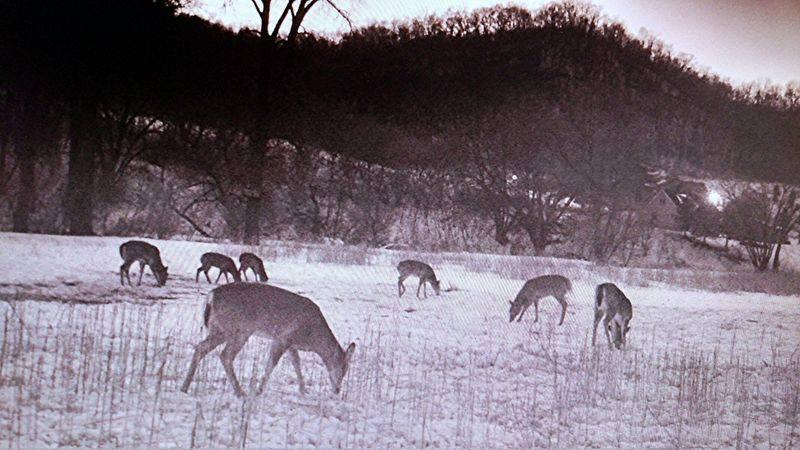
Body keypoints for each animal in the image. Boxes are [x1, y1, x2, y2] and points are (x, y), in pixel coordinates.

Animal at [183, 284, 358, 398]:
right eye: (343, 369)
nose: (337, 390)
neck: (312, 337)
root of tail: (211, 296)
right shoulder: (282, 338)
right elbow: (271, 364)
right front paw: (259, 391)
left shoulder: (291, 344)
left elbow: (296, 363)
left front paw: (303, 391)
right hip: (237, 330)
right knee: (225, 355)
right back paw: (240, 392)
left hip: (219, 328)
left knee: (201, 348)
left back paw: (184, 387)